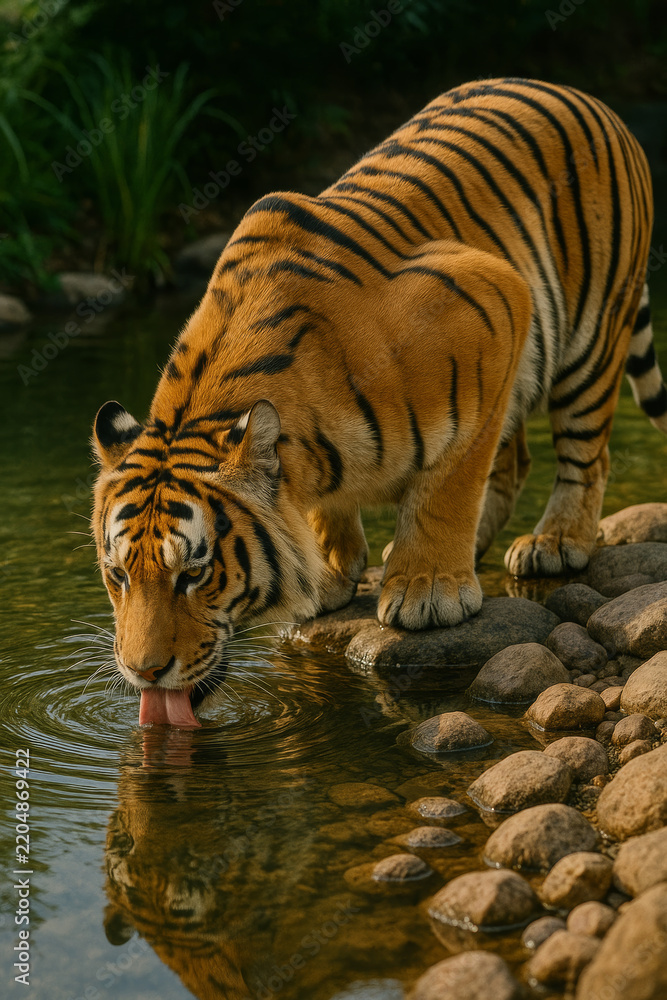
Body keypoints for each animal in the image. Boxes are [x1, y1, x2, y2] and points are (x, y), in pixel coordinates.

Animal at [92, 77, 667, 726]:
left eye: (193, 573)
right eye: (117, 575)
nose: (143, 672)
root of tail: (579, 94)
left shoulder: (494, 298)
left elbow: (447, 485)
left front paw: (428, 589)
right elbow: (333, 506)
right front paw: (330, 574)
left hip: (590, 336)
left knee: (584, 453)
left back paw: (554, 541)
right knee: (513, 459)